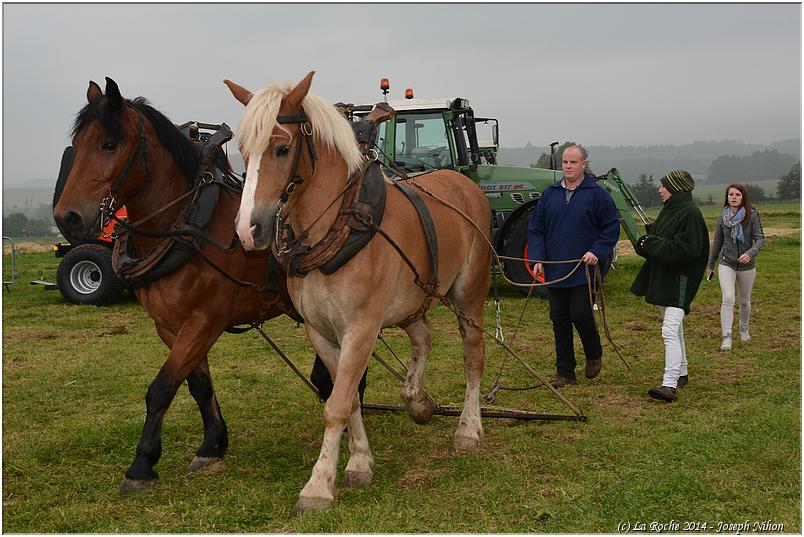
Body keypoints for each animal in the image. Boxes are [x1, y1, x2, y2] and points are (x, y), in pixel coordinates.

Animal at [53, 77, 298, 492]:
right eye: (77, 143)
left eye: (108, 145)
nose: (66, 217)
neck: (188, 224)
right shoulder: (170, 325)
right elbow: (197, 384)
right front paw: (212, 445)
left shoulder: (204, 321)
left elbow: (162, 387)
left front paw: (141, 465)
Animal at [223, 70, 494, 510]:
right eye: (243, 150)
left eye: (282, 148)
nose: (249, 230)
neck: (338, 224)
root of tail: (463, 182)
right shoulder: (321, 332)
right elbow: (347, 398)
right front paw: (359, 463)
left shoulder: (361, 329)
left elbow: (336, 405)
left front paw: (318, 486)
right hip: (412, 299)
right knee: (423, 336)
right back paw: (417, 400)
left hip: (469, 293)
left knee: (473, 355)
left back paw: (468, 428)